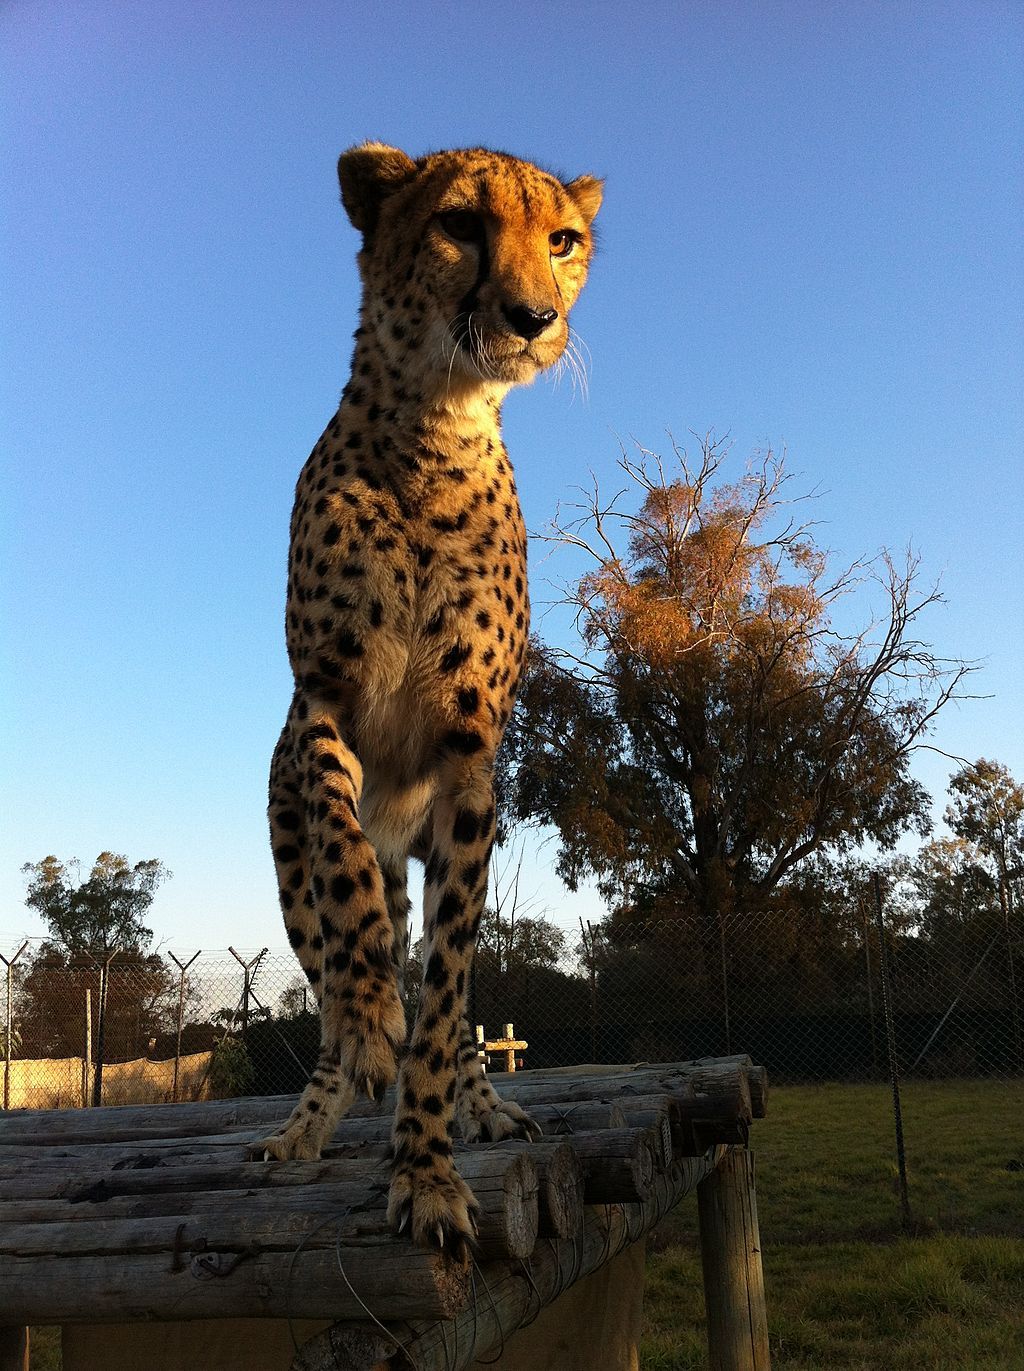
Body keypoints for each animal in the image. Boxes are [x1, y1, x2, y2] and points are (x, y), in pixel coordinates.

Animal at [255, 142, 602, 1258]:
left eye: (562, 239)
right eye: (458, 224)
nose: (533, 317)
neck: (436, 431)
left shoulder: (468, 760)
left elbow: (448, 992)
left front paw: (428, 1171)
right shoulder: (322, 704)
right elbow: (348, 877)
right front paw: (372, 1020)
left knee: (452, 994)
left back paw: (479, 1103)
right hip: (290, 872)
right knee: (331, 968)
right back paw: (315, 1110)